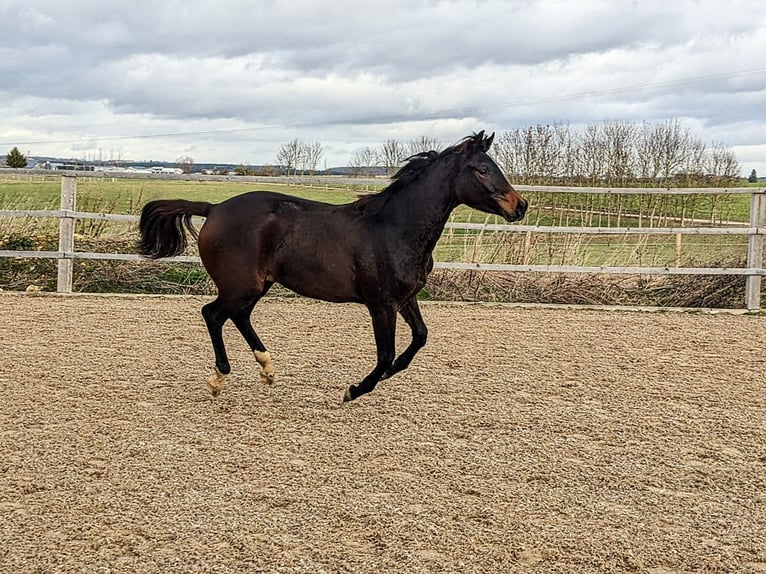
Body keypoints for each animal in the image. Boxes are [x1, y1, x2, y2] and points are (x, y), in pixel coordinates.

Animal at [138, 132, 528, 402]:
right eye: (482, 170)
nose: (520, 206)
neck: (394, 228)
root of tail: (214, 208)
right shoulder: (381, 304)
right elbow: (385, 355)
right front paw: (355, 390)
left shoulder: (406, 298)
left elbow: (419, 337)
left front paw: (388, 376)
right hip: (241, 285)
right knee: (213, 314)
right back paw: (219, 378)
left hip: (258, 285)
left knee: (238, 316)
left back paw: (267, 370)